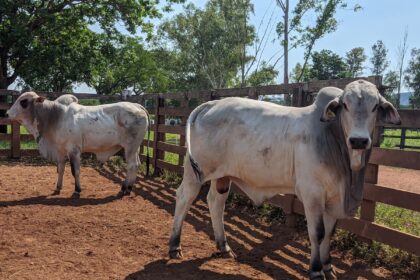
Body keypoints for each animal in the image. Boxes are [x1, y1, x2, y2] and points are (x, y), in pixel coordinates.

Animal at [6, 91, 149, 197]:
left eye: (23, 101)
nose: (7, 113)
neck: (54, 116)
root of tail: (137, 106)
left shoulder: (74, 150)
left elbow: (76, 171)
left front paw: (77, 190)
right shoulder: (60, 151)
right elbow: (61, 169)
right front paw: (58, 188)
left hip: (130, 147)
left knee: (132, 165)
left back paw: (125, 189)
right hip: (134, 148)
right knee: (136, 164)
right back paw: (128, 188)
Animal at [168, 80, 400, 278]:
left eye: (375, 106)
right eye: (345, 105)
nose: (358, 140)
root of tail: (209, 104)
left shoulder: (334, 199)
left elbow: (329, 233)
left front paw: (328, 267)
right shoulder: (312, 194)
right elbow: (317, 232)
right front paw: (316, 270)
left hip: (223, 177)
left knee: (216, 203)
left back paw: (223, 246)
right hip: (194, 172)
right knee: (184, 197)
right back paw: (174, 246)